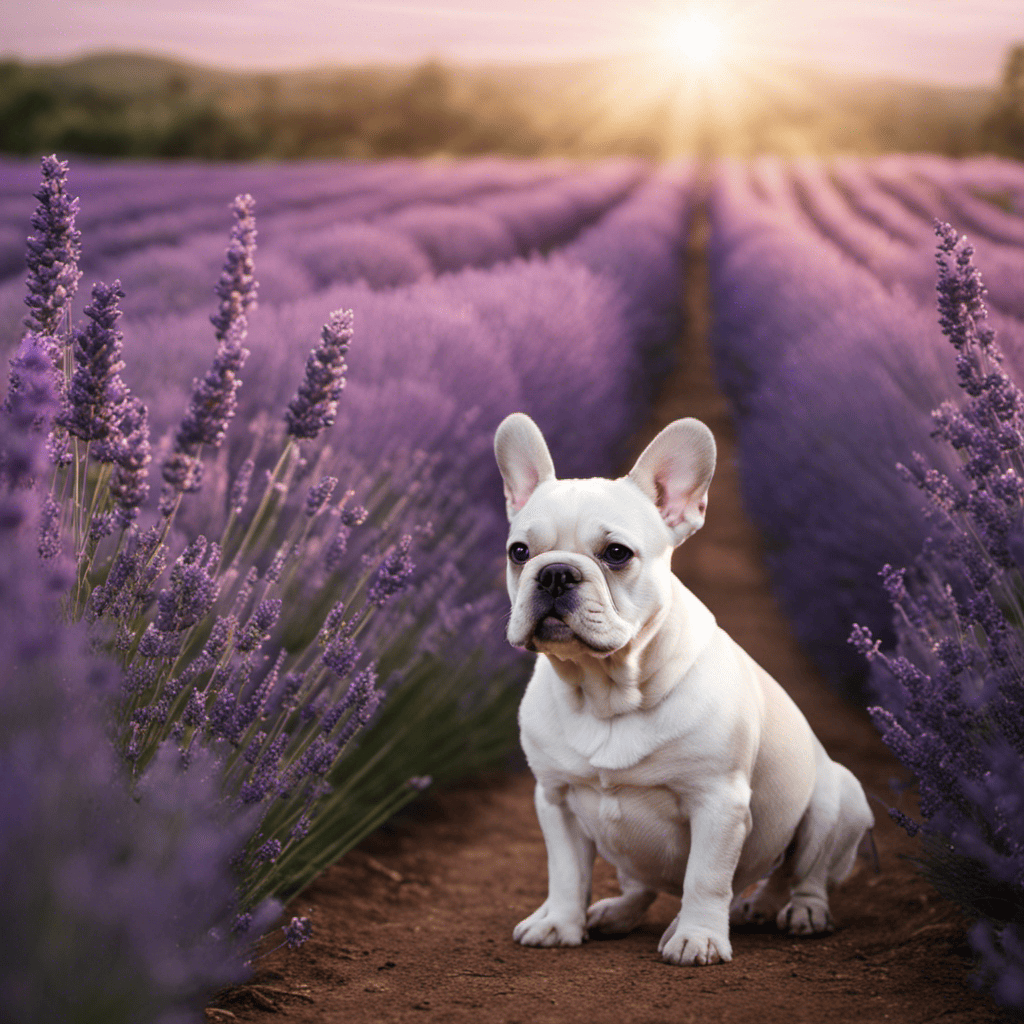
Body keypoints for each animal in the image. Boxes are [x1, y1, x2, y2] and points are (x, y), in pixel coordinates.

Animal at [493, 411, 872, 962]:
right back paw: (619, 912)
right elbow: (565, 873)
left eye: (616, 553)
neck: (606, 692)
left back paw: (798, 911)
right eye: (518, 552)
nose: (555, 573)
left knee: (800, 874)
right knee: (643, 885)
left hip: (834, 801)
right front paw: (560, 923)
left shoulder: (719, 801)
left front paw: (698, 937)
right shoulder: (556, 799)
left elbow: (706, 878)